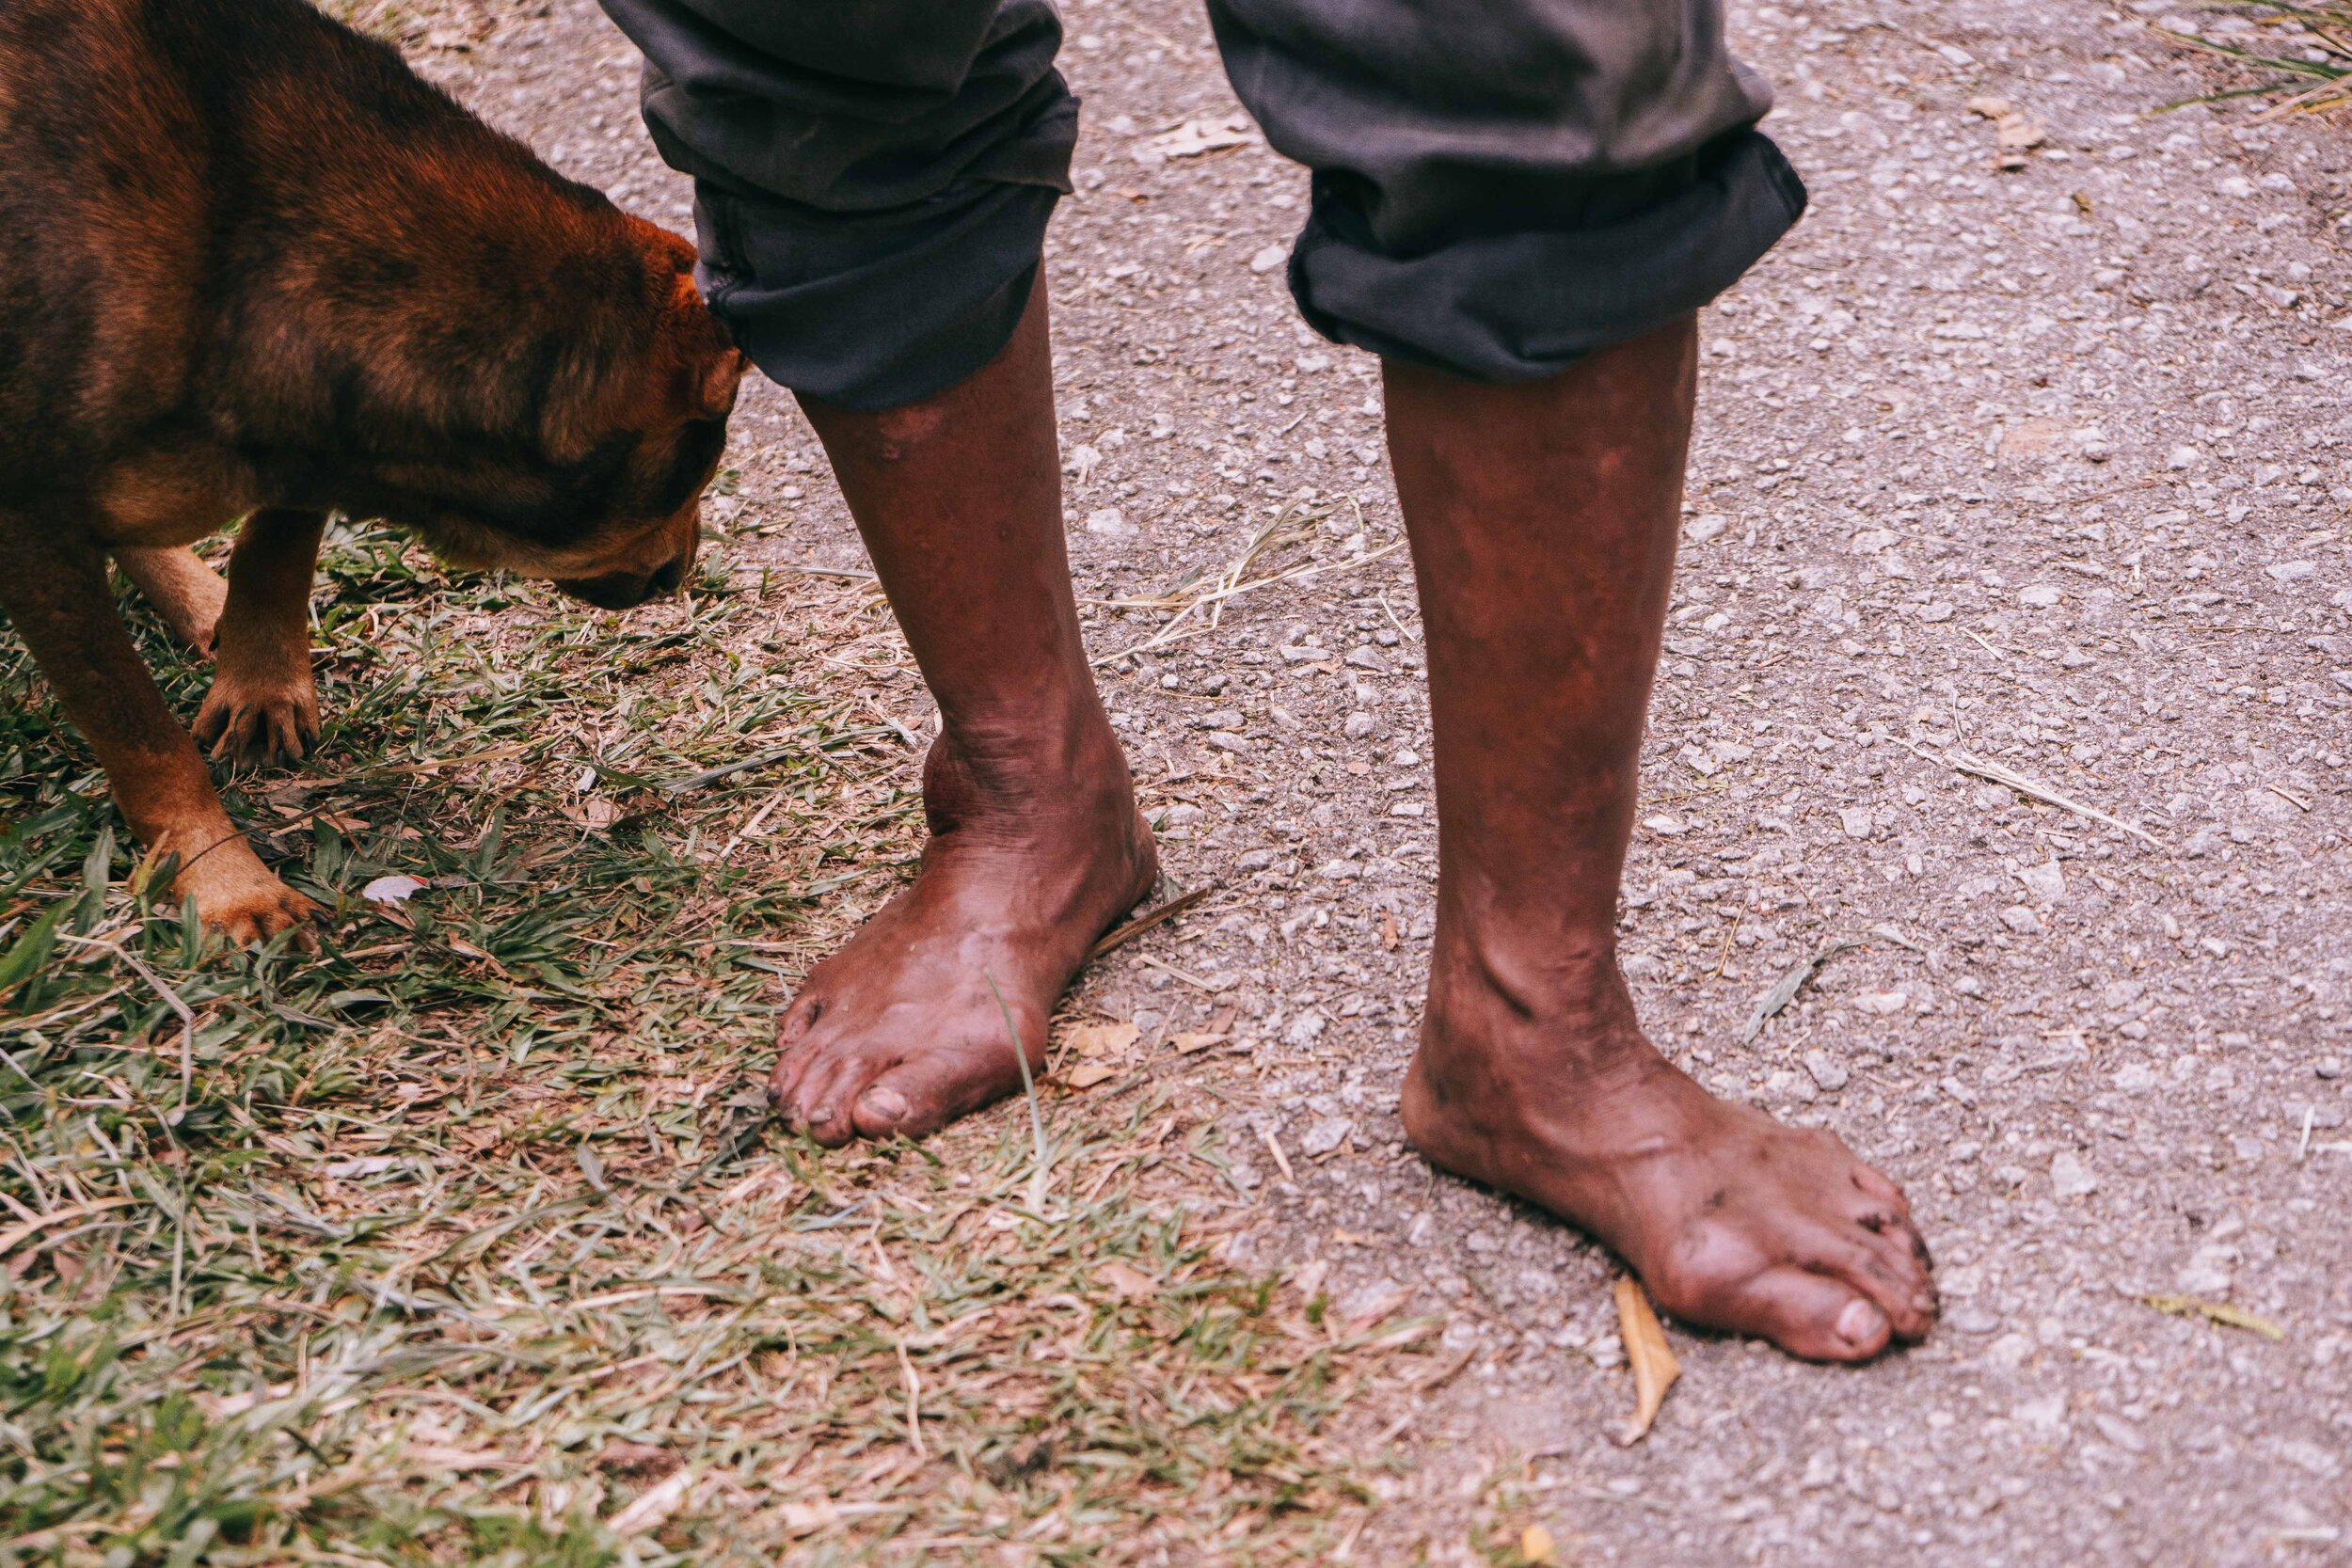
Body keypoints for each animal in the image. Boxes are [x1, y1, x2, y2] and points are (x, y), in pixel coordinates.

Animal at [0, 0, 743, 944]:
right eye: (700, 460)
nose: (686, 565)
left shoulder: (310, 403)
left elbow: (279, 534)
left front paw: (260, 674)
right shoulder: (29, 524)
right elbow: (138, 731)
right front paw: (223, 876)